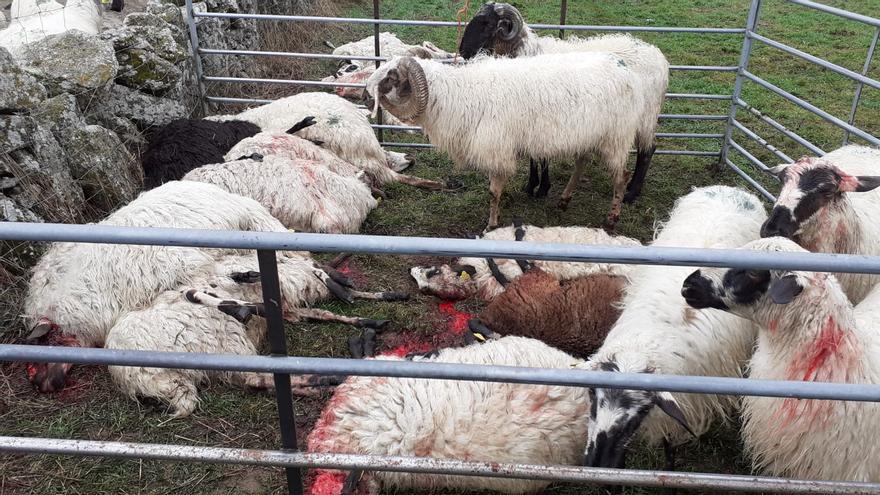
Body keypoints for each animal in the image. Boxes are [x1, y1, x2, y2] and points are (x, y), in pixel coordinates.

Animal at [105, 252, 400, 418]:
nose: (346, 285)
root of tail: (130, 375)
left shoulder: (288, 308)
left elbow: (323, 313)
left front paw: (371, 315)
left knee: (258, 381)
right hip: (224, 345)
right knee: (257, 376)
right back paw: (329, 379)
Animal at [366, 53, 645, 231]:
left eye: (390, 77)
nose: (366, 96)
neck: (455, 96)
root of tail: (624, 69)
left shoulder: (497, 150)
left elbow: (493, 192)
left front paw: (491, 225)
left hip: (616, 137)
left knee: (621, 176)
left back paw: (611, 220)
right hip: (588, 136)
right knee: (582, 164)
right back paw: (564, 201)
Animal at [458, 2, 669, 202]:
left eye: (487, 23)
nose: (463, 52)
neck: (529, 52)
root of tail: (659, 57)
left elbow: (542, 156)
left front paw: (542, 188)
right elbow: (534, 156)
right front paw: (531, 186)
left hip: (645, 114)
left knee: (647, 150)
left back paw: (631, 193)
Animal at [582, 185, 766, 471]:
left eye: (641, 413)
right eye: (592, 397)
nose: (597, 462)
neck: (647, 342)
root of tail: (733, 188)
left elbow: (669, 445)